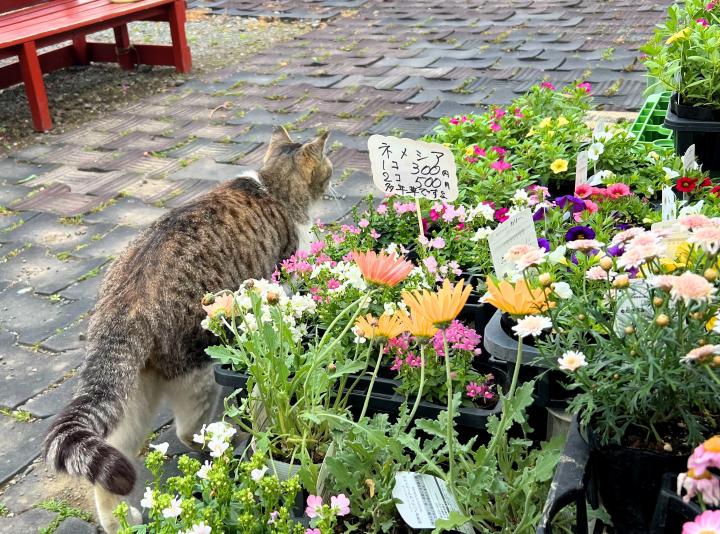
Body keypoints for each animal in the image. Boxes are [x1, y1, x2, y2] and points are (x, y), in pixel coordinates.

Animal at [43, 127, 332, 533]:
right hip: (198, 371)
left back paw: (121, 520)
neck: (273, 185)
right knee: (188, 431)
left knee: (113, 458)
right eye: (329, 167)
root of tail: (122, 306)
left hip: (134, 395)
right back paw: (221, 443)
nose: (333, 182)